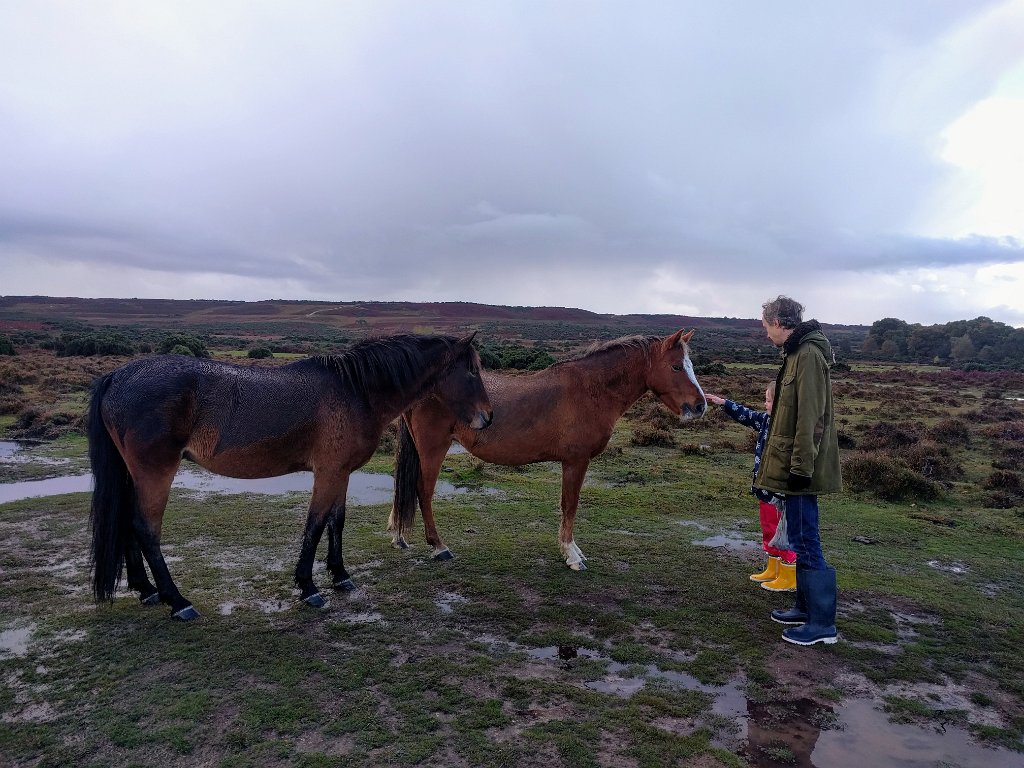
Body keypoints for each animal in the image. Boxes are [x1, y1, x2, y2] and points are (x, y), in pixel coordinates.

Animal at [88, 333, 491, 622]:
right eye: (472, 370)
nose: (487, 417)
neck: (356, 391)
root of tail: (117, 375)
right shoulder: (327, 473)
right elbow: (315, 524)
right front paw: (309, 586)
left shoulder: (340, 473)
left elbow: (336, 522)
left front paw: (340, 575)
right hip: (155, 473)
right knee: (145, 528)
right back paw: (178, 601)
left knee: (127, 524)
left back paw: (146, 591)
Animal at [389, 331, 704, 573]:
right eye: (676, 367)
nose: (700, 406)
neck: (591, 389)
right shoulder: (575, 461)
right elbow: (570, 505)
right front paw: (571, 555)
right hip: (433, 449)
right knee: (423, 491)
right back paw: (439, 547)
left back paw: (399, 536)